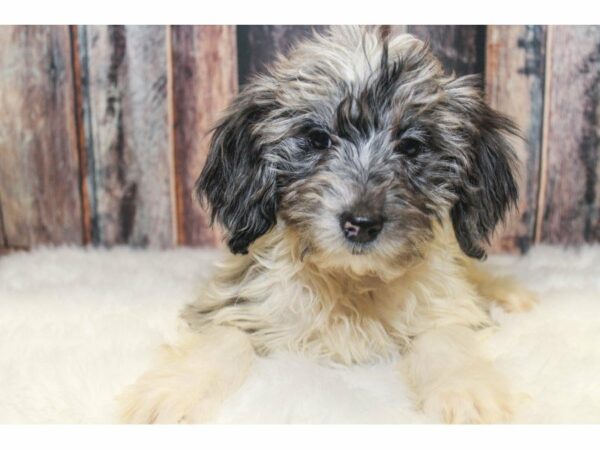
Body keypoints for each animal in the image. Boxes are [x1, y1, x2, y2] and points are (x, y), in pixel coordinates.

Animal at [119, 24, 536, 424]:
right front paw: (173, 392)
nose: (361, 223)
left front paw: (467, 393)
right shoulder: (241, 298)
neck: (350, 281)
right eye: (318, 139)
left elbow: (445, 339)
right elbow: (223, 338)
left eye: (411, 146)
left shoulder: (444, 305)